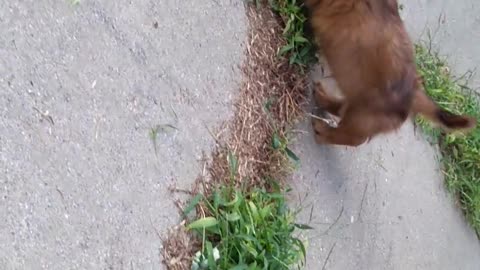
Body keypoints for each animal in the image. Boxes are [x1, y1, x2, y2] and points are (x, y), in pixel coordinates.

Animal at [306, 0, 474, 147]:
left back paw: (322, 132)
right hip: (358, 102)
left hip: (363, 118)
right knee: (342, 108)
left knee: (352, 138)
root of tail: (414, 93)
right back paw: (322, 98)